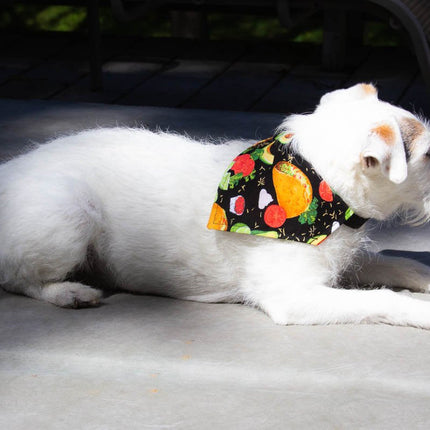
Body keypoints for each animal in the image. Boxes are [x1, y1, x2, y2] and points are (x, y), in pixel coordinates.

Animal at [2, 82, 430, 328]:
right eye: (427, 154)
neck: (319, 182)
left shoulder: (340, 262)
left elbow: (397, 263)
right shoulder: (292, 296)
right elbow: (381, 297)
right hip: (70, 212)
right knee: (17, 277)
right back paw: (67, 293)